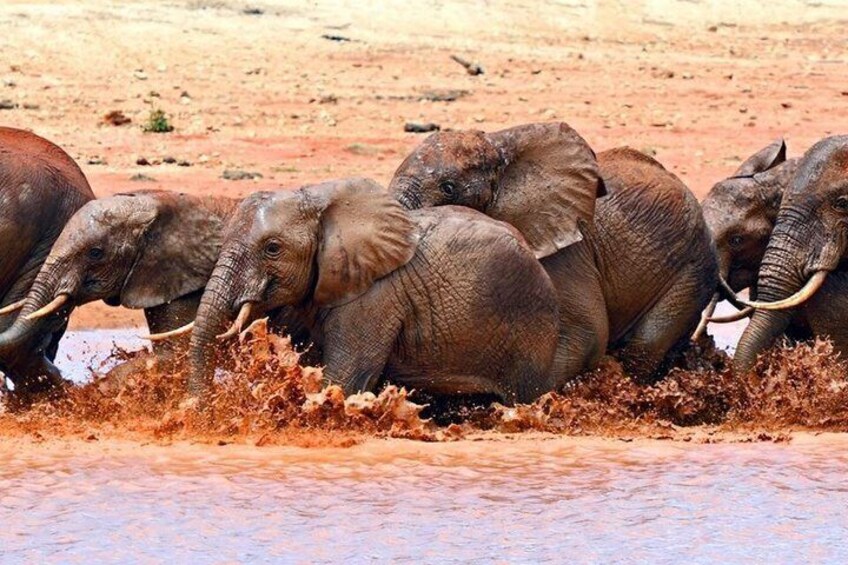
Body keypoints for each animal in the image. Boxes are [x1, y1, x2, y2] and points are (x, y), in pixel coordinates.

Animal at [187, 177, 560, 404]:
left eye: (272, 249)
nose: (198, 409)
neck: (321, 201)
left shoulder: (374, 299)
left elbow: (342, 380)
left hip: (529, 328)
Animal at [389, 122, 718, 383]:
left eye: (448, 188)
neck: (500, 147)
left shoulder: (567, 251)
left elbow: (589, 334)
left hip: (692, 268)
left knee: (645, 345)